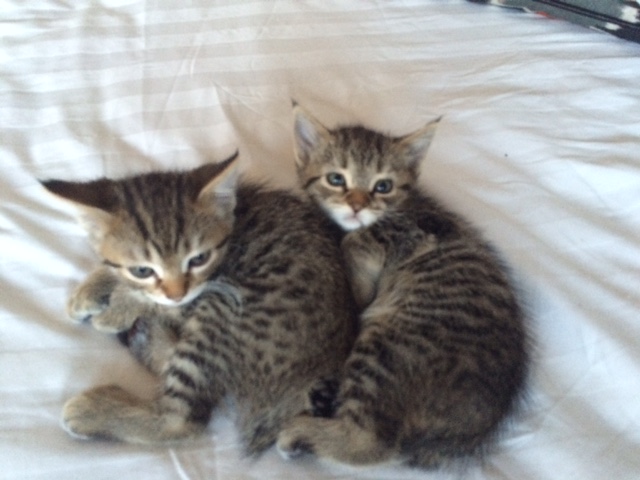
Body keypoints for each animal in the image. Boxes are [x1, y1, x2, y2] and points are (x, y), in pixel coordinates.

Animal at [42, 154, 358, 454]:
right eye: (143, 270)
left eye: (198, 259)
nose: (177, 292)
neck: (232, 225)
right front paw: (92, 289)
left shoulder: (208, 289)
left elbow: (157, 302)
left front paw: (118, 308)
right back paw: (146, 337)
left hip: (224, 313)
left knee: (181, 420)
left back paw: (95, 409)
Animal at [276, 106, 528, 468]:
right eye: (336, 179)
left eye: (383, 186)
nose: (357, 205)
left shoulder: (420, 231)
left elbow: (357, 240)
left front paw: (357, 290)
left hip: (386, 349)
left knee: (370, 442)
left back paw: (299, 433)